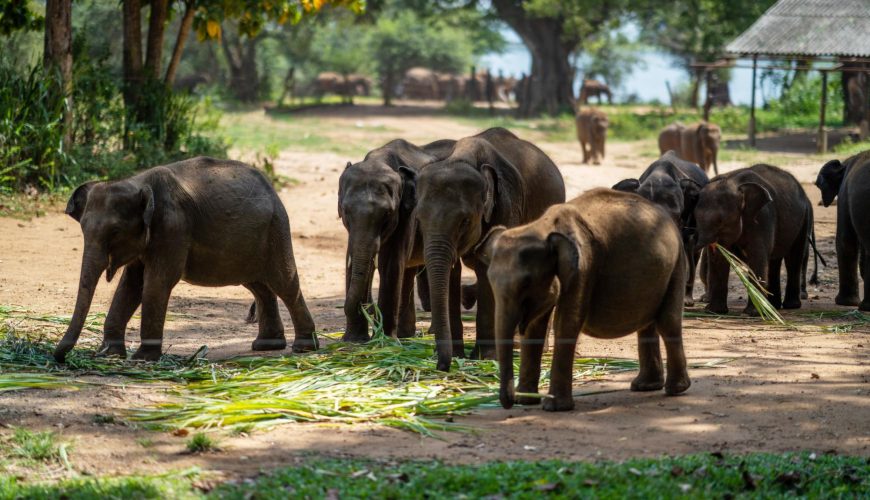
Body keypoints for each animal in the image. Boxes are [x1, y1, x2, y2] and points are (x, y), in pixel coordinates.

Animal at [54, 157, 316, 363]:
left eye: (115, 232)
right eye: (83, 230)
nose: (59, 358)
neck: (137, 182)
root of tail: (271, 187)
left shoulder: (173, 227)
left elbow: (156, 282)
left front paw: (142, 359)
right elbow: (131, 285)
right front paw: (109, 354)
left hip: (276, 228)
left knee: (284, 283)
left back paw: (303, 347)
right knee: (258, 285)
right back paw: (266, 346)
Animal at [338, 138, 457, 342]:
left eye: (387, 213)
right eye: (346, 211)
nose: (365, 307)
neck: (379, 160)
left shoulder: (406, 213)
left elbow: (390, 263)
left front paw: (383, 340)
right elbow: (351, 260)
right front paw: (354, 340)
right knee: (408, 270)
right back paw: (405, 335)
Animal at [410, 127, 566, 371]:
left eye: (464, 221)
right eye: (419, 219)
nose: (441, 366)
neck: (462, 156)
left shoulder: (506, 205)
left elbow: (487, 268)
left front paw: (485, 358)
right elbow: (452, 275)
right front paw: (457, 354)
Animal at [479, 188, 690, 412]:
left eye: (526, 282)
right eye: (490, 279)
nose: (508, 402)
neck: (542, 227)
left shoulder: (584, 265)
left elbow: (566, 322)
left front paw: (554, 407)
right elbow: (535, 327)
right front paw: (525, 400)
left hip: (677, 265)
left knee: (667, 322)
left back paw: (675, 389)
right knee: (647, 323)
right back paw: (645, 386)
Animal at [694, 164, 812, 315]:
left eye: (720, 221)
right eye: (695, 217)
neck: (734, 183)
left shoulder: (762, 217)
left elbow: (757, 255)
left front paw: (753, 313)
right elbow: (719, 258)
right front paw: (714, 312)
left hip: (804, 219)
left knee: (793, 258)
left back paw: (790, 306)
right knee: (773, 261)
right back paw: (773, 305)